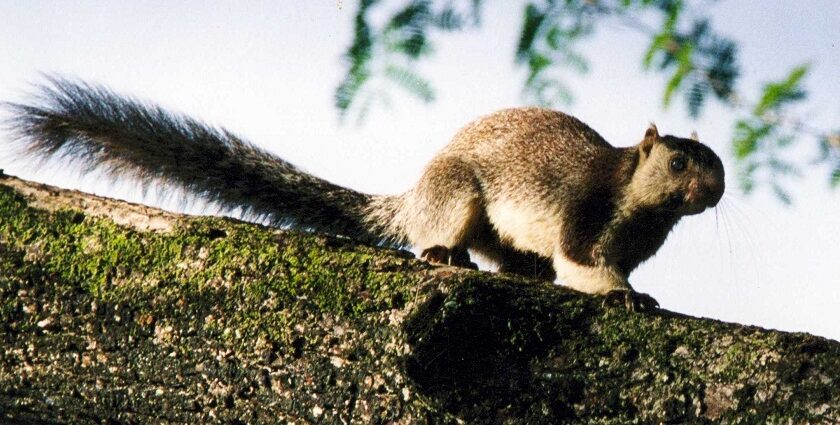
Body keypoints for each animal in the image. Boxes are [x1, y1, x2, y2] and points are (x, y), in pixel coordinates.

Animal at [4, 77, 720, 308]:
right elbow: (584, 264)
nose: (713, 190)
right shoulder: (584, 212)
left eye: (718, 164)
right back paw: (444, 255)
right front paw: (627, 297)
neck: (641, 209)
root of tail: (411, 196)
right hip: (456, 196)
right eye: (678, 160)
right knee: (445, 237)